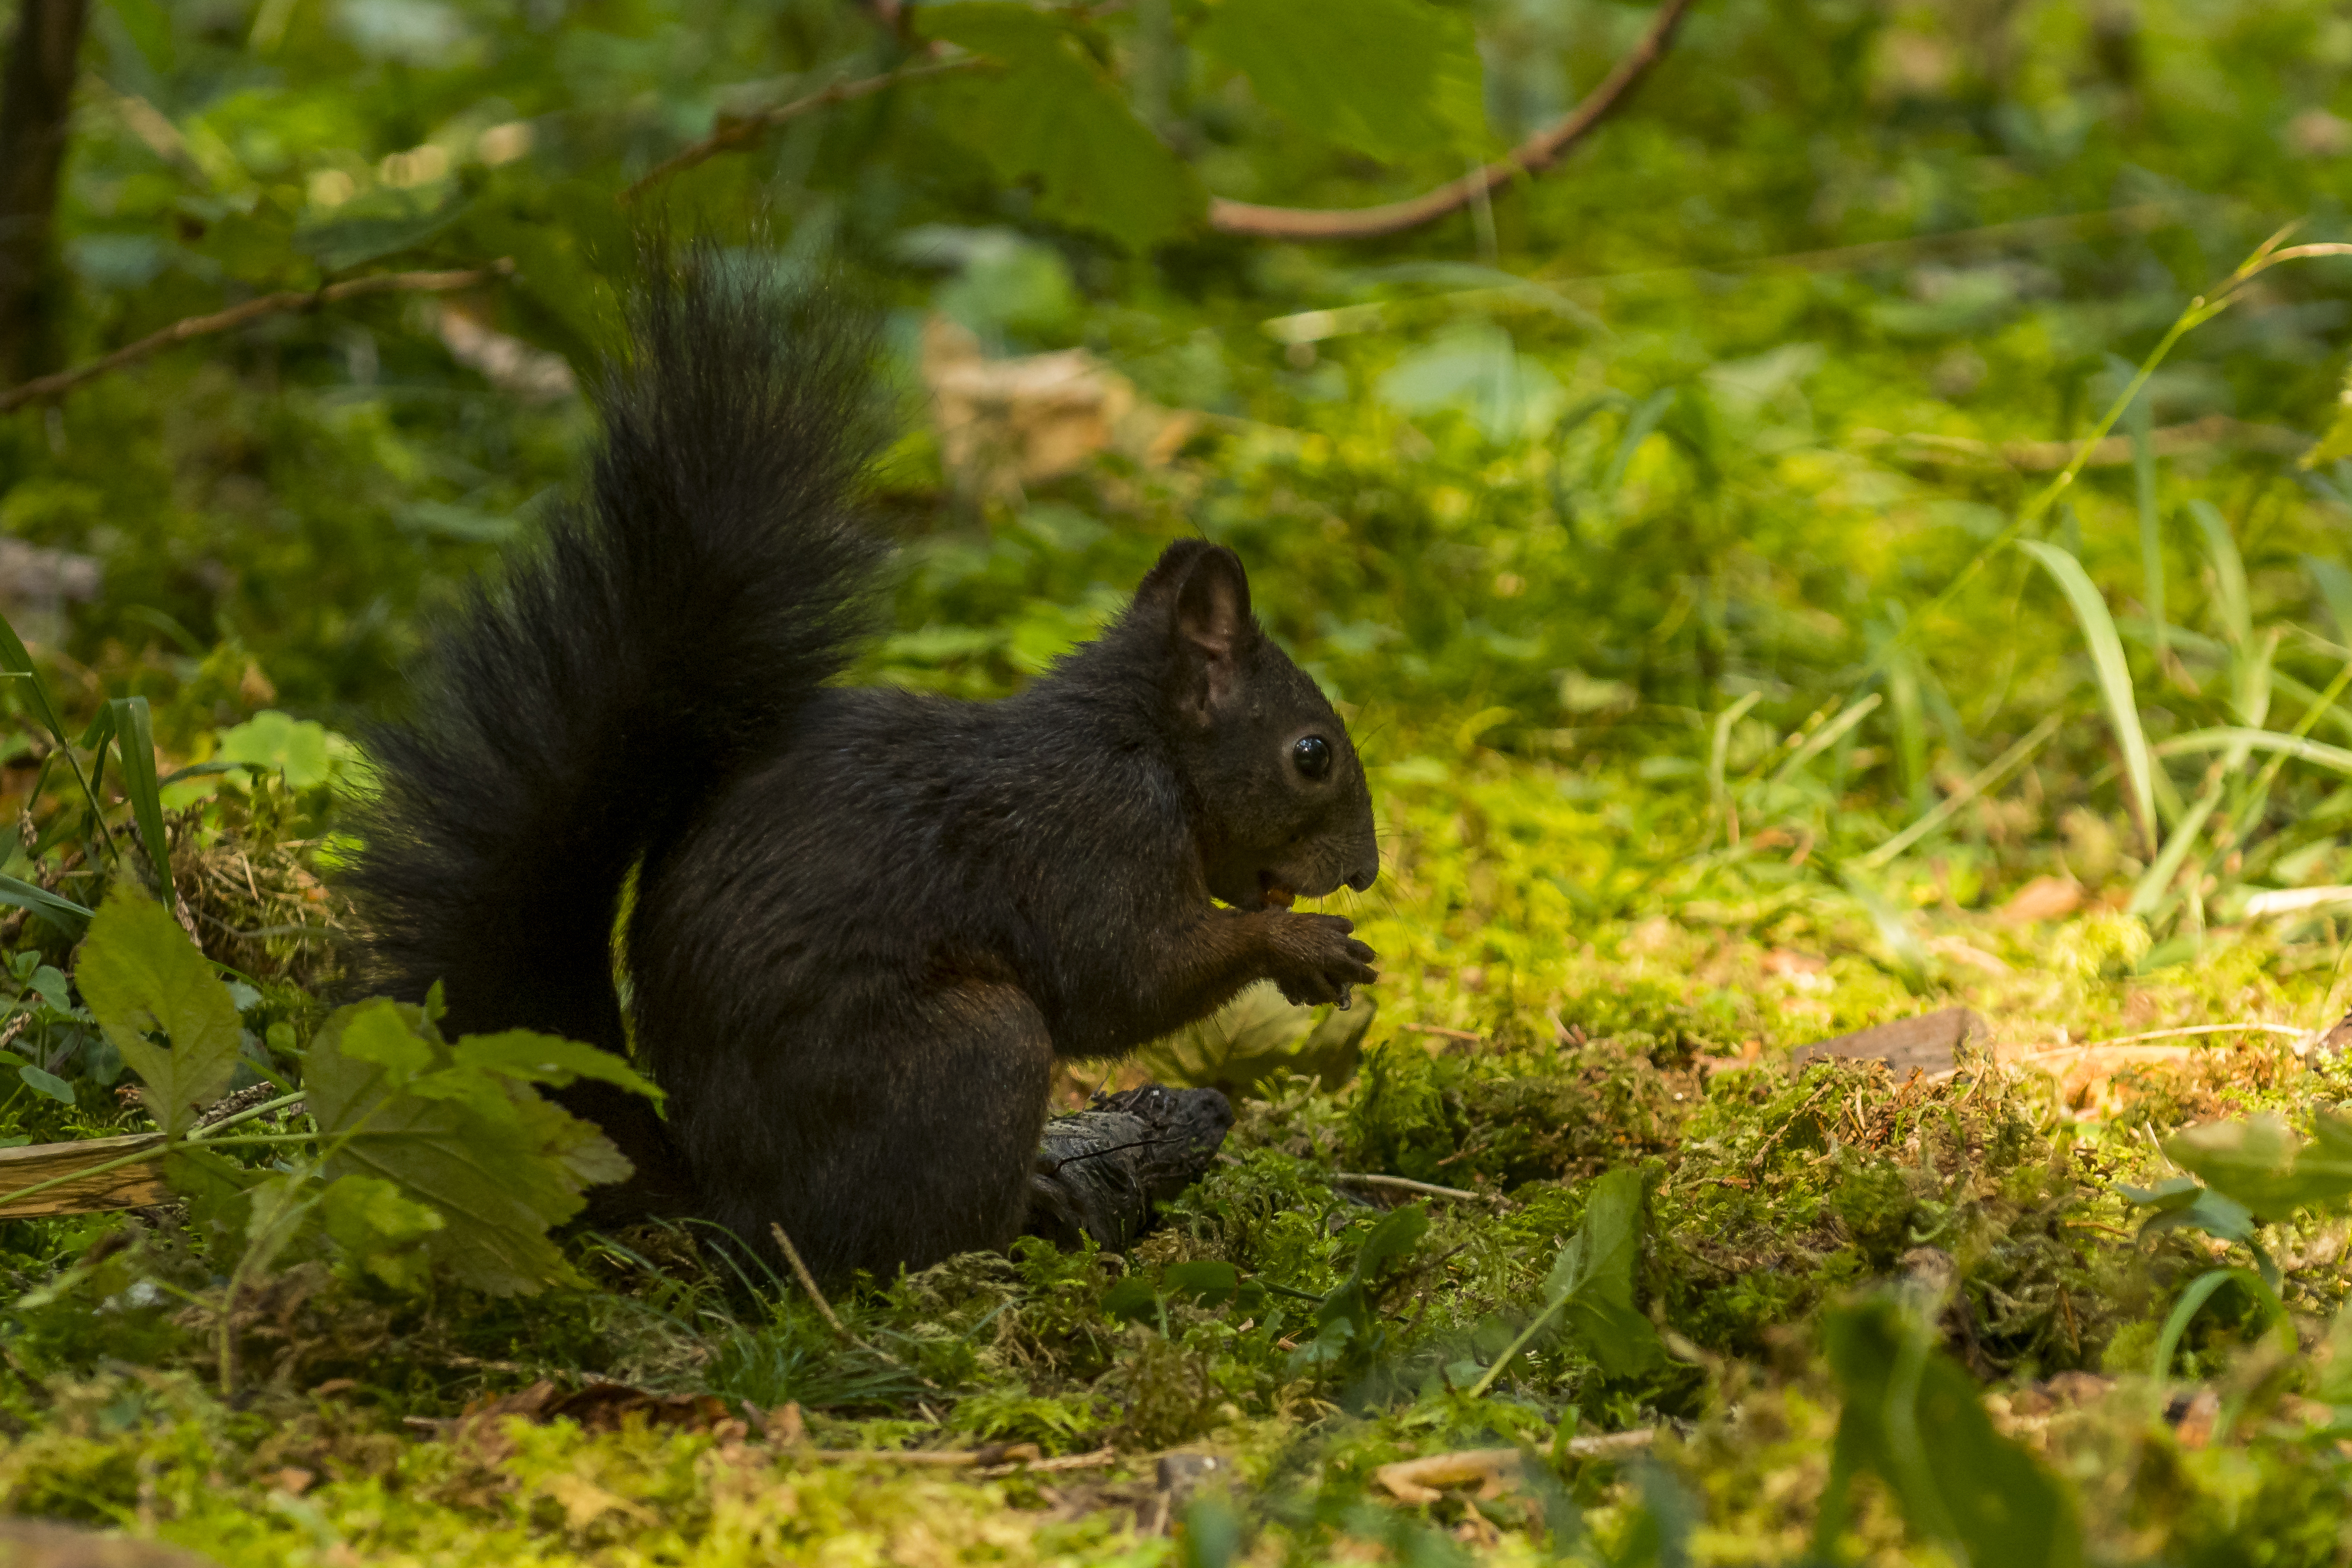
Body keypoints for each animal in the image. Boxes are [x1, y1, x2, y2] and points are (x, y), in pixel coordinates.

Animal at [345, 250, 1381, 1281]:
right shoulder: (1092, 835)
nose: (1367, 871)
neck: (1140, 742)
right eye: (1312, 754)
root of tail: (726, 1205)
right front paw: (1300, 946)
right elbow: (1123, 978)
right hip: (975, 1052)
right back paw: (1022, 1225)